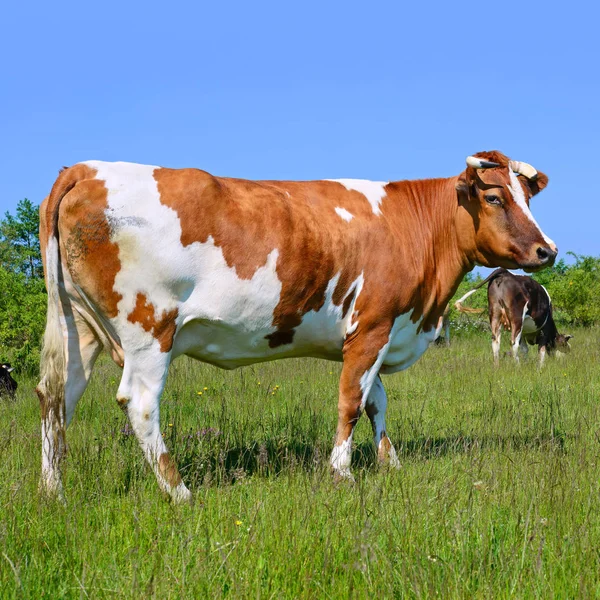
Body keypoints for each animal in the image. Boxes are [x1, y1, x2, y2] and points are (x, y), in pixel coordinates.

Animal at [36, 150, 552, 502]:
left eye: (529, 197)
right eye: (493, 196)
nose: (547, 250)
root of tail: (87, 168)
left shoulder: (380, 333)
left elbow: (376, 401)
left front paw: (391, 463)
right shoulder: (373, 326)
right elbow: (351, 401)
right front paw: (342, 472)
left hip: (76, 324)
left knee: (56, 395)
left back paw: (52, 490)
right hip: (149, 326)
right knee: (139, 403)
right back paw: (179, 491)